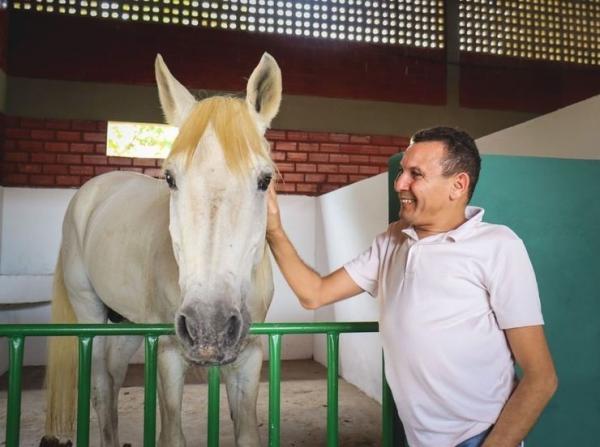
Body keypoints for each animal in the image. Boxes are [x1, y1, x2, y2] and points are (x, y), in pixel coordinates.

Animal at [41, 53, 282, 447]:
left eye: (265, 179)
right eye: (170, 178)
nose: (208, 327)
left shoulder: (248, 356)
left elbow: (247, 432)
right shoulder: (168, 355)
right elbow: (171, 434)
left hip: (128, 324)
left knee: (113, 379)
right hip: (89, 315)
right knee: (101, 386)